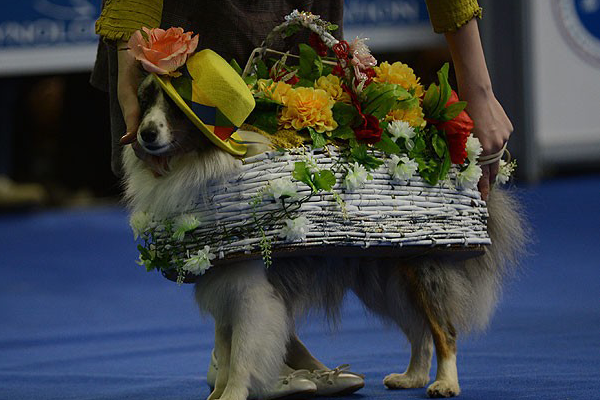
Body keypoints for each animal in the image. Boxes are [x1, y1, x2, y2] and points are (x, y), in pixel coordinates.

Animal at [122, 73, 524, 398]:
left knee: (444, 331)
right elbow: (224, 351)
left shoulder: (252, 294)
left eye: (177, 109)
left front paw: (233, 395)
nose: (146, 133)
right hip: (385, 283)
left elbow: (240, 357)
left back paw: (445, 384)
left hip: (422, 270)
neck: (196, 164)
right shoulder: (223, 287)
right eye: (144, 101)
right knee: (419, 331)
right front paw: (218, 395)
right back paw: (411, 377)